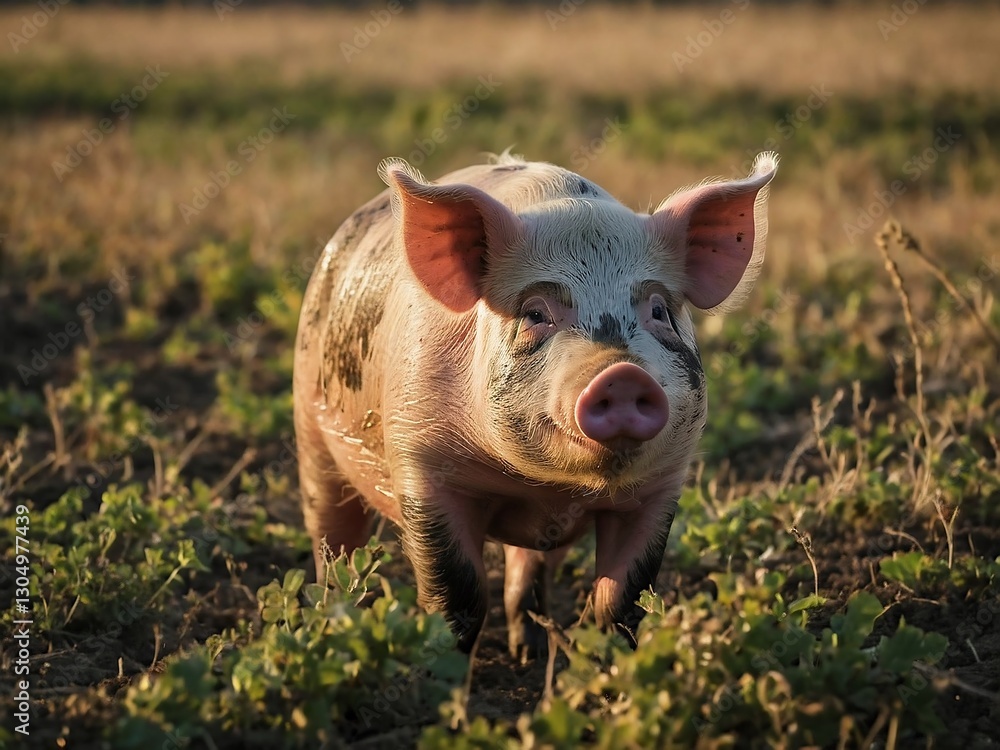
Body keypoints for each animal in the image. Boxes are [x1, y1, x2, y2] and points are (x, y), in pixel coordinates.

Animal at [293, 150, 777, 657]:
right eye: (535, 313)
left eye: (660, 311)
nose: (622, 374)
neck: (545, 485)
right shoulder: (421, 461)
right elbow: (459, 597)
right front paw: (442, 672)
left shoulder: (660, 486)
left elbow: (623, 600)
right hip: (309, 423)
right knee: (331, 533)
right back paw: (329, 614)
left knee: (527, 566)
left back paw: (528, 651)